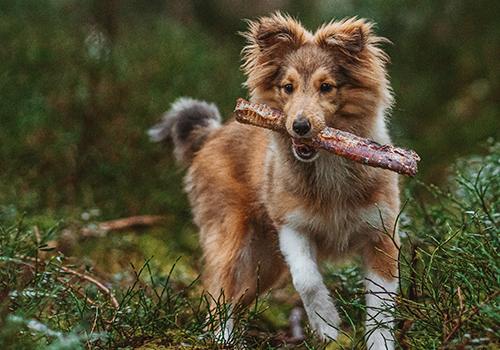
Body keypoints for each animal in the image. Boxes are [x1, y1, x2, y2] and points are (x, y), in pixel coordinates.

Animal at [149, 12, 402, 348]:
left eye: (326, 87)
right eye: (288, 87)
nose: (300, 126)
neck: (327, 166)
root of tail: (213, 134)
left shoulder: (382, 235)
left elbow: (381, 306)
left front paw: (379, 341)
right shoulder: (291, 225)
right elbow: (307, 279)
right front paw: (326, 323)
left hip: (265, 264)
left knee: (237, 297)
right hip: (229, 237)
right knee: (219, 292)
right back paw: (223, 338)